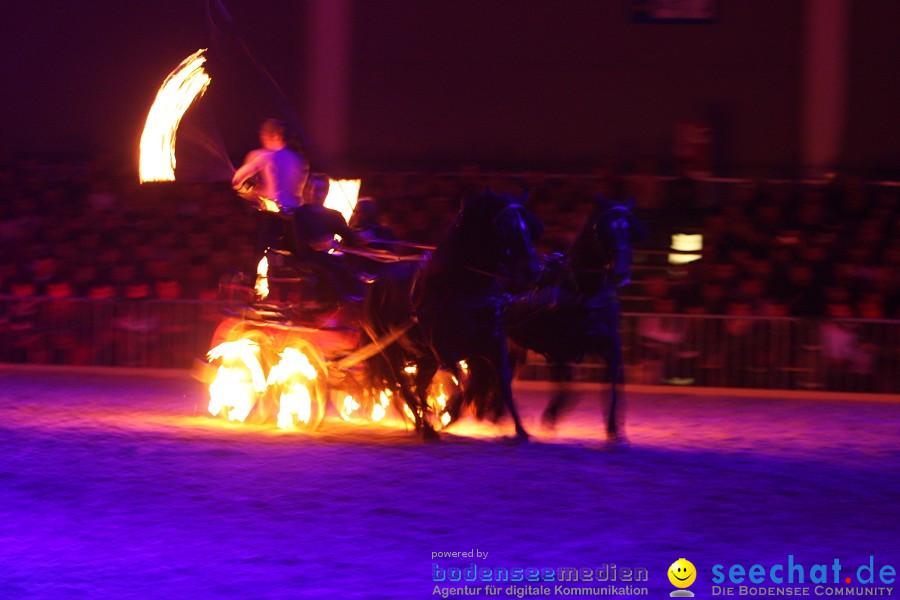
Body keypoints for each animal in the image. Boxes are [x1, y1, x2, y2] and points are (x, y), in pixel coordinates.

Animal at [360, 192, 540, 440]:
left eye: (530, 226)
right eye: (505, 227)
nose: (533, 271)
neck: (462, 287)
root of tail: (374, 283)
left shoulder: (492, 343)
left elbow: (500, 380)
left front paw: (520, 430)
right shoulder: (446, 352)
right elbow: (463, 382)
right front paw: (449, 413)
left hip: (424, 356)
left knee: (419, 385)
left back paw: (424, 422)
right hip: (391, 352)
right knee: (404, 386)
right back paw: (426, 427)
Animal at [502, 197, 644, 440]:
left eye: (629, 230)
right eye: (605, 229)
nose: (621, 272)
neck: (582, 289)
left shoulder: (609, 344)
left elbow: (613, 383)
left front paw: (615, 428)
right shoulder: (557, 346)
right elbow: (569, 388)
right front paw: (550, 417)